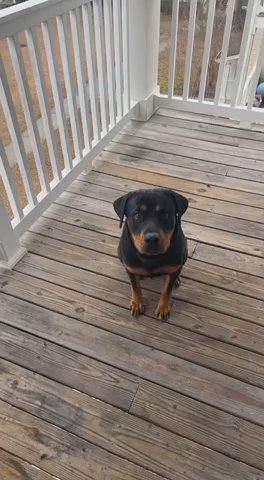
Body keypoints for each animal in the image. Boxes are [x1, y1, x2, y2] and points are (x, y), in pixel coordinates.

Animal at [113, 188, 188, 318]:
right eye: (137, 215)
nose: (152, 238)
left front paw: (163, 308)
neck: (150, 258)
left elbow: (166, 290)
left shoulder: (174, 266)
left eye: (165, 214)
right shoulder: (130, 269)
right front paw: (137, 303)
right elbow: (135, 287)